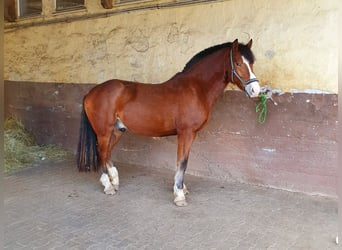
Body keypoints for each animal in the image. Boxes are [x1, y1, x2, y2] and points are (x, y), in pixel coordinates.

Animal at [77, 39, 260, 206]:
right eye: (238, 63)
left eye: (252, 63)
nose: (256, 91)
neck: (196, 88)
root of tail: (91, 92)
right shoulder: (185, 133)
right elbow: (182, 162)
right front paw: (179, 195)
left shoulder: (190, 135)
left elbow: (183, 161)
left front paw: (181, 188)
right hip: (103, 132)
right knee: (101, 152)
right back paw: (108, 186)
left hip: (117, 131)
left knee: (107, 152)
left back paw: (114, 180)